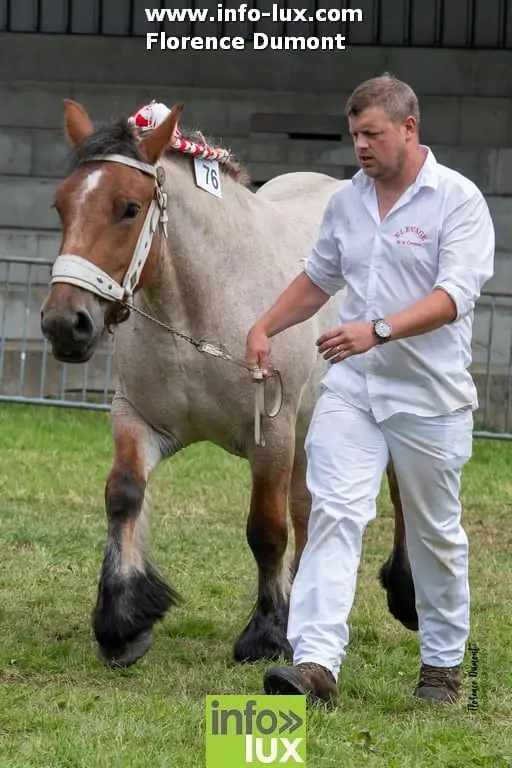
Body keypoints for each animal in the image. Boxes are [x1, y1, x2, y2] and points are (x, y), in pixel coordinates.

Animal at [39, 99, 417, 669]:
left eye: (129, 208)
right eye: (61, 206)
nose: (66, 324)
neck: (201, 308)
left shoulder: (272, 435)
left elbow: (266, 530)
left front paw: (265, 634)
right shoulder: (139, 419)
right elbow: (123, 495)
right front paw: (122, 622)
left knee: (398, 486)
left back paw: (405, 593)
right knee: (309, 511)